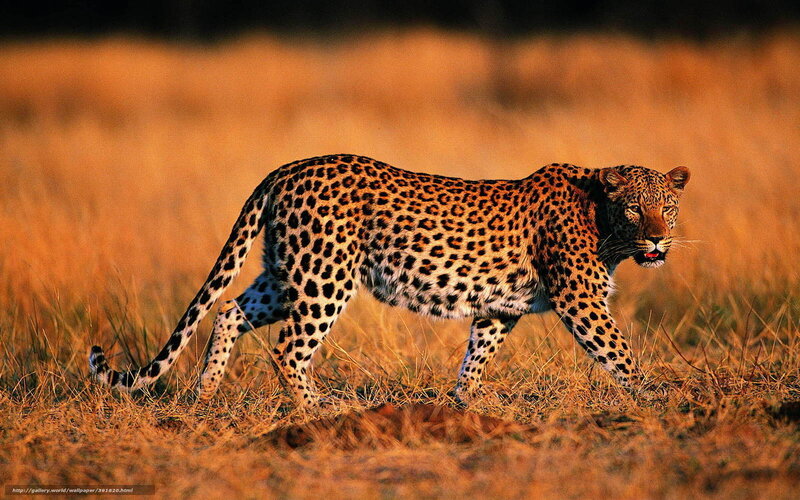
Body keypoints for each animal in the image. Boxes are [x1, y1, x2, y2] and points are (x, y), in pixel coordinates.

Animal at [89, 154, 690, 406]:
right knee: (287, 348)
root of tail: (285, 168)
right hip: (324, 277)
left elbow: (477, 355)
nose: (659, 241)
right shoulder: (579, 298)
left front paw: (461, 405)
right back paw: (319, 409)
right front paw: (658, 397)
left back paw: (204, 394)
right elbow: (619, 353)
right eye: (635, 209)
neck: (604, 223)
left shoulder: (501, 308)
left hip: (287, 273)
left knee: (229, 310)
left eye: (667, 207)